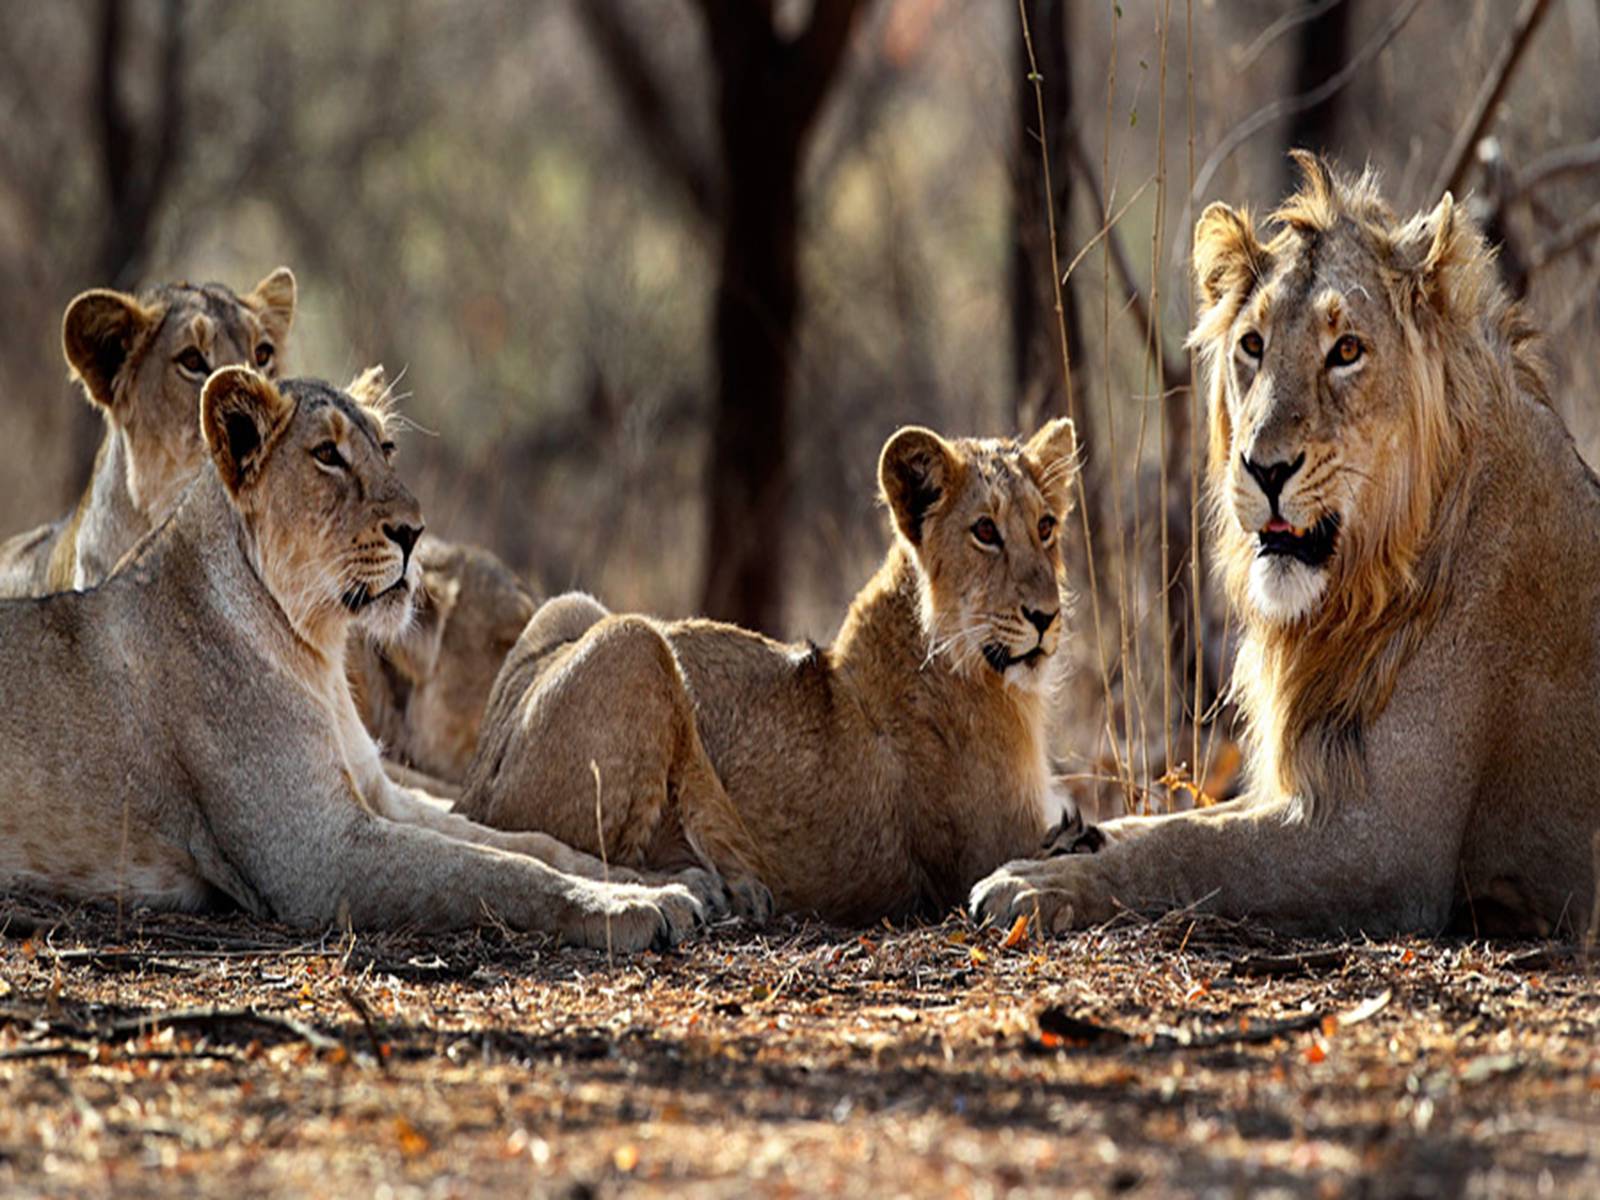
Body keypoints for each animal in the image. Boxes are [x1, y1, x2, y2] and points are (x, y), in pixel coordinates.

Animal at [0, 366, 707, 947]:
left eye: (385, 448)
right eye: (327, 455)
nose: (414, 532)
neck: (317, 651)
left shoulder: (378, 792)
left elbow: (522, 841)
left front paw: (662, 880)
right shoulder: (315, 851)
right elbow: (492, 869)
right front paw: (628, 908)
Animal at [454, 419, 1088, 928]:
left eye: (1046, 526)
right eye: (985, 531)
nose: (1045, 616)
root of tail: (471, 785)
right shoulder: (990, 850)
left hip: (573, 606)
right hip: (635, 639)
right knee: (597, 854)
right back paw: (715, 888)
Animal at [966, 150, 1600, 940]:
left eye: (1347, 350)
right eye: (1253, 345)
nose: (1264, 469)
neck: (1370, 582)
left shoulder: (1386, 842)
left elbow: (1190, 848)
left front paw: (1034, 885)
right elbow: (1169, 820)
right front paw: (1062, 843)